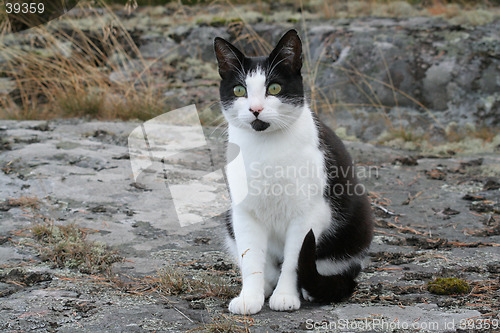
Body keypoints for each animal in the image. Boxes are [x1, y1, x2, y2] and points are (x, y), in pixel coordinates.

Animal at [213, 29, 374, 314]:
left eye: (274, 88)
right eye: (240, 90)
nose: (255, 109)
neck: (266, 149)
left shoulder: (308, 215)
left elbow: (294, 260)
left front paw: (286, 296)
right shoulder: (244, 213)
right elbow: (251, 258)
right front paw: (250, 297)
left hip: (356, 228)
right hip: (229, 220)